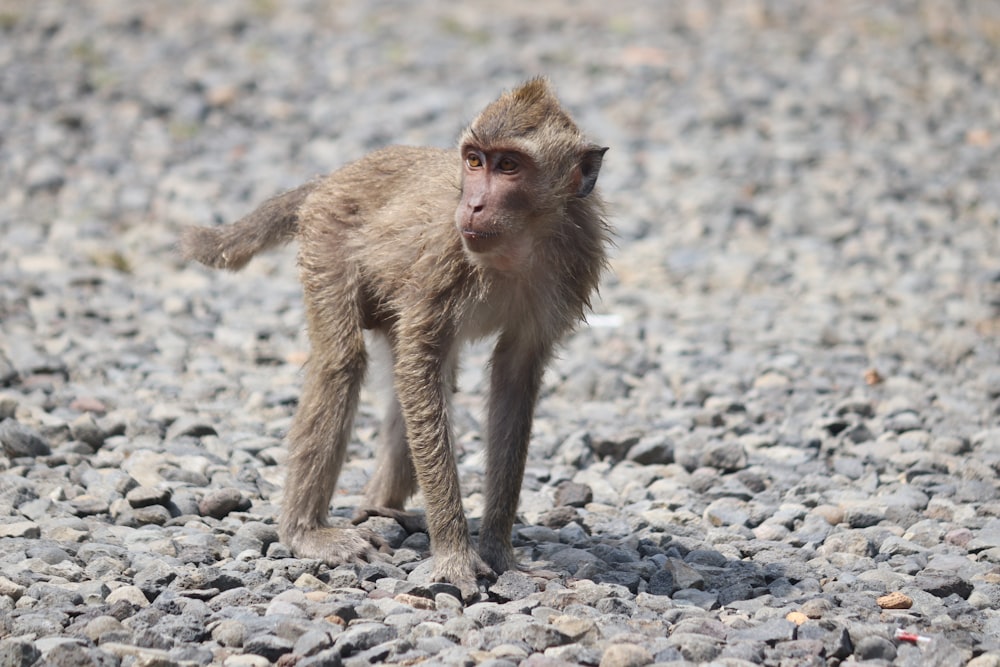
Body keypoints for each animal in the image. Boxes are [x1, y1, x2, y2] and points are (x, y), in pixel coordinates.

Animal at [184, 78, 612, 600]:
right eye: (475, 161)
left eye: (509, 166)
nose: (472, 204)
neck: (519, 247)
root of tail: (334, 177)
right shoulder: (445, 253)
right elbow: (417, 366)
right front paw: (454, 555)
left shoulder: (572, 262)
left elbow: (513, 380)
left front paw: (499, 552)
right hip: (327, 238)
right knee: (343, 362)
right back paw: (306, 532)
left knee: (428, 376)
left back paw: (382, 507)